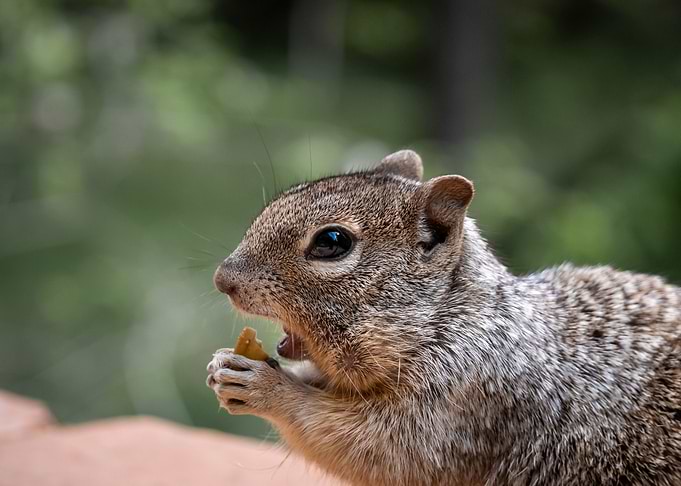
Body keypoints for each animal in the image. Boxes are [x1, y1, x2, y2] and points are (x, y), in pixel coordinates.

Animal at [207, 150, 680, 486]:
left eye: (332, 242)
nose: (222, 279)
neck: (448, 320)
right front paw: (222, 364)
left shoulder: (465, 404)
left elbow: (377, 450)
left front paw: (268, 387)